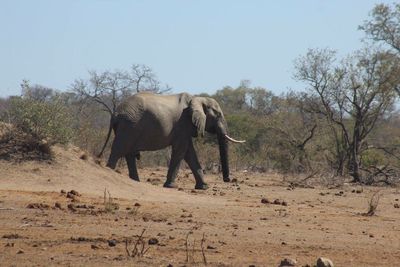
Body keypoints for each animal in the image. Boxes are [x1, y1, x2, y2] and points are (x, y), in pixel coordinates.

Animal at [98, 92, 245, 191]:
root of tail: (115, 113)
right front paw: (171, 186)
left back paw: (136, 182)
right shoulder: (183, 125)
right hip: (129, 126)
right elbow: (181, 151)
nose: (227, 179)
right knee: (119, 150)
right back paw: (110, 173)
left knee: (128, 153)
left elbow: (190, 153)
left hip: (129, 126)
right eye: (218, 114)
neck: (197, 98)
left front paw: (203, 187)